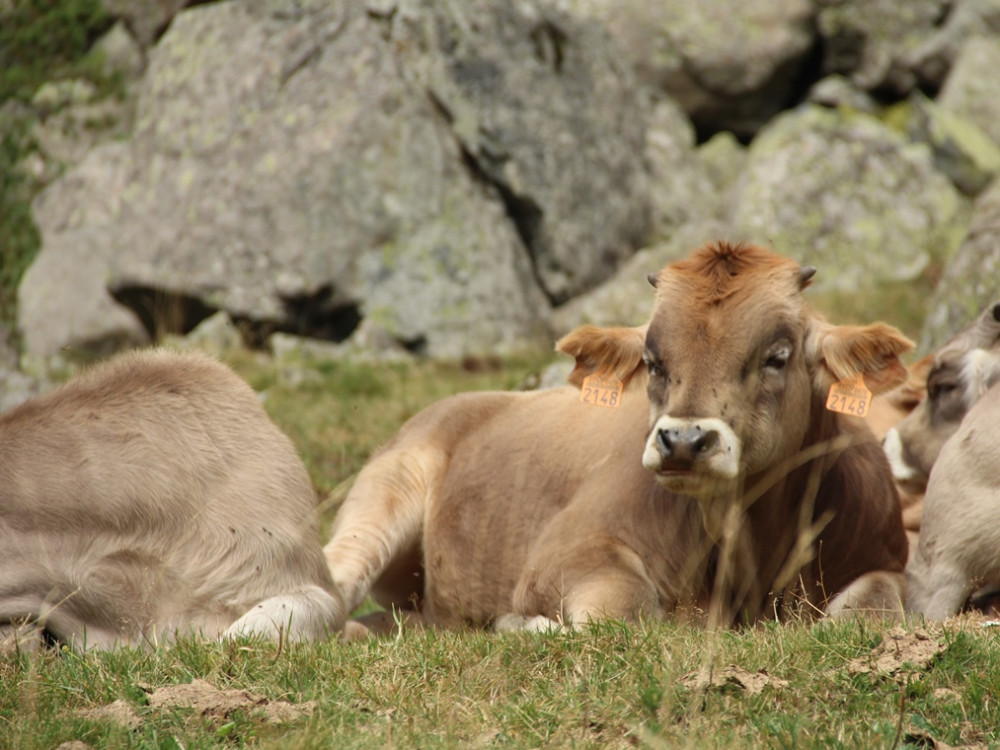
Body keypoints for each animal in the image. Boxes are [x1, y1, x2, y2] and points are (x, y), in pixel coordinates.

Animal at [322, 241, 913, 633]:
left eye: (777, 356)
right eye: (653, 361)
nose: (684, 441)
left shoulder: (883, 559)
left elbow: (874, 609)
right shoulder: (563, 550)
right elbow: (623, 611)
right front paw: (527, 626)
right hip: (381, 498)